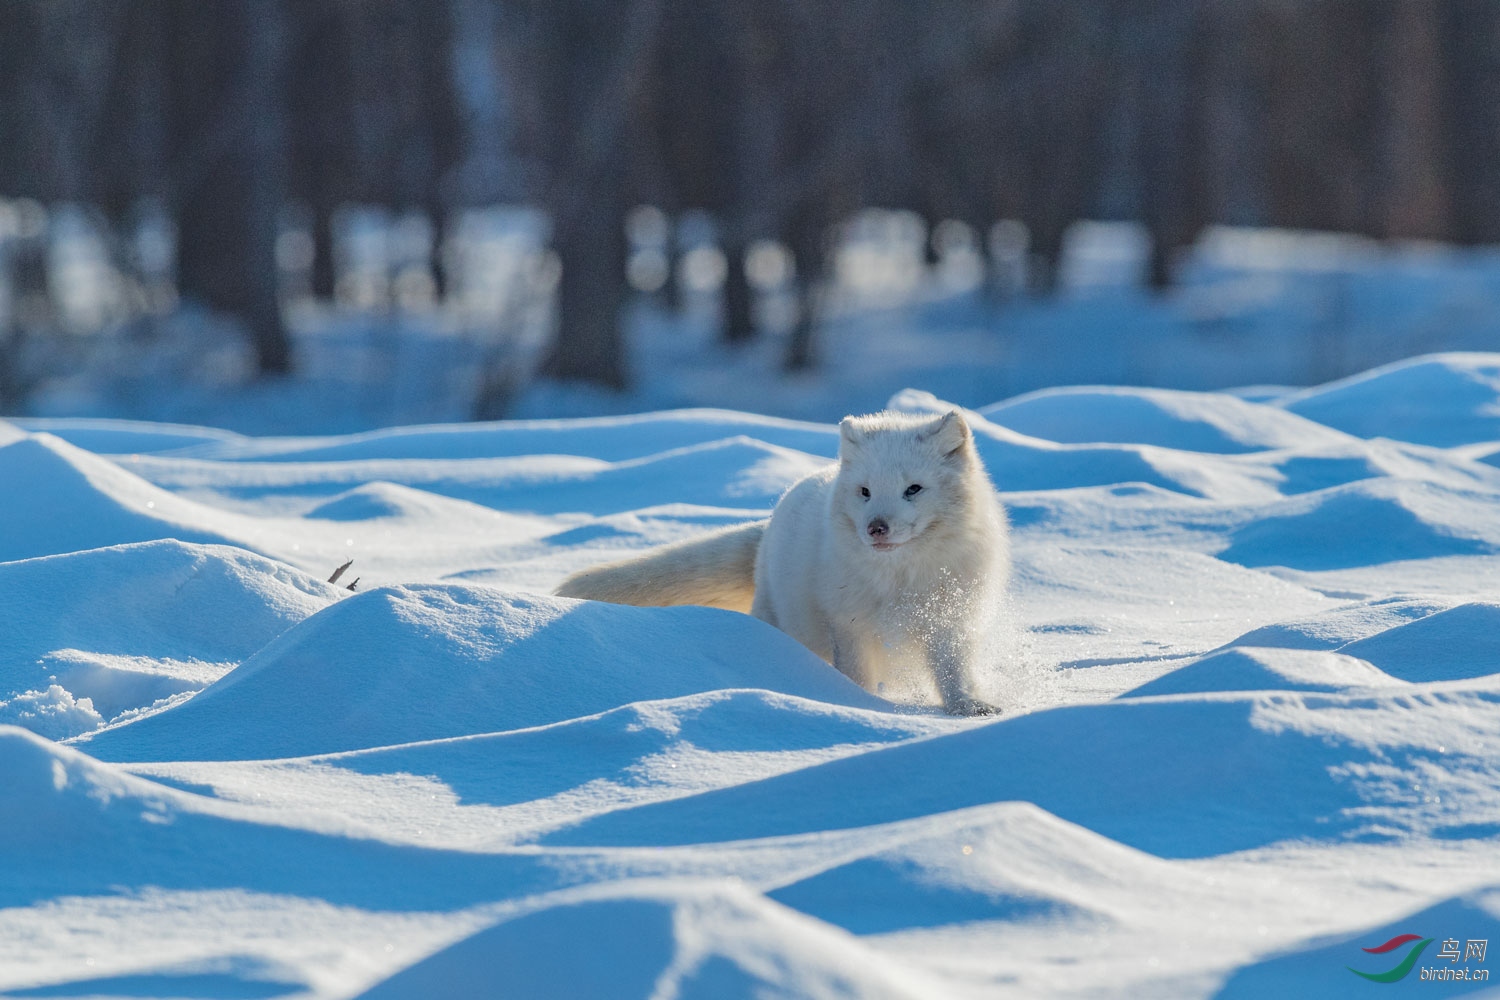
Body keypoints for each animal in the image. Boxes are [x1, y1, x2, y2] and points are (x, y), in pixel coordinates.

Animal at [558, 410, 1014, 716]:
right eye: (865, 491)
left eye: (913, 489)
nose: (876, 529)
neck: (900, 580)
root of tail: (770, 521)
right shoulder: (848, 624)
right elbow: (857, 675)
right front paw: (860, 706)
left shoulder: (949, 618)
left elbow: (953, 672)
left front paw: (969, 706)